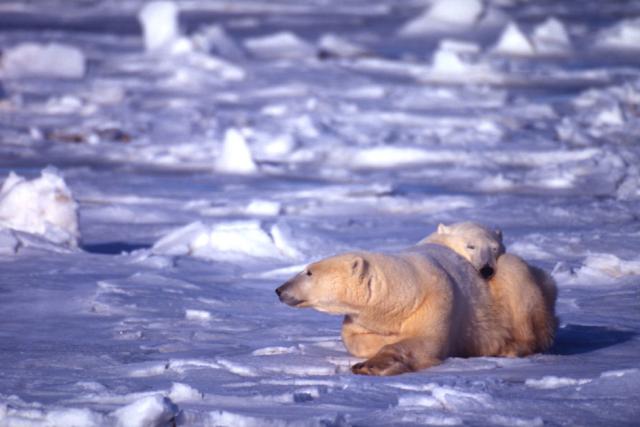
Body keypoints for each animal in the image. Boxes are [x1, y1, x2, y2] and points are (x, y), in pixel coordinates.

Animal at [276, 244, 511, 376]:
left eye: (309, 272)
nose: (279, 289)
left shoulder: (435, 301)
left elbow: (426, 341)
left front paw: (368, 366)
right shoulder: (359, 318)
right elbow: (352, 338)